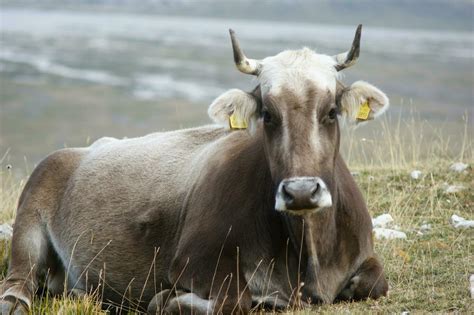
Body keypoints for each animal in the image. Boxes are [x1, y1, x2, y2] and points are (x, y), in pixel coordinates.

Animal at [0, 25, 388, 315]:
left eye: (331, 112)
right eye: (267, 114)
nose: (301, 192)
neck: (309, 252)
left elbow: (376, 283)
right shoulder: (194, 261)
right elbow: (232, 301)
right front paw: (166, 299)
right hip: (30, 212)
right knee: (18, 282)